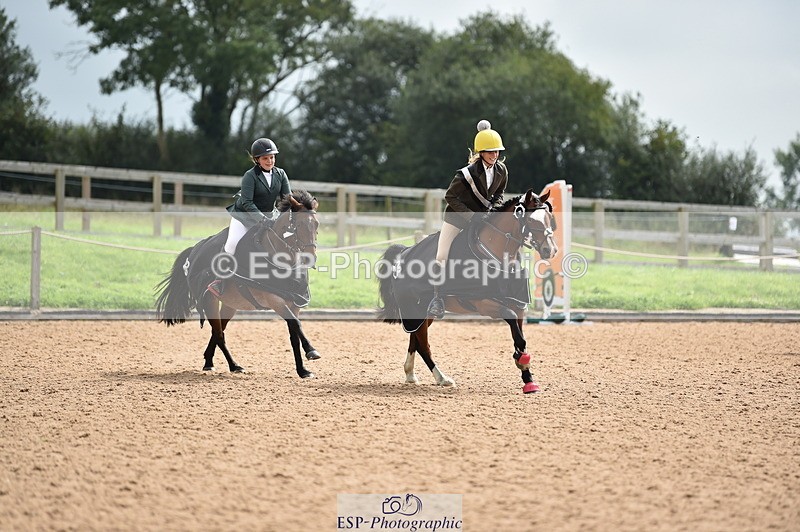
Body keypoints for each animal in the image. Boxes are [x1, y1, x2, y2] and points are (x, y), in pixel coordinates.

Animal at [155, 190, 321, 378]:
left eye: (316, 224)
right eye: (299, 224)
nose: (310, 258)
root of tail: (195, 250)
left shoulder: (294, 304)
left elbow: (294, 335)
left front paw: (303, 370)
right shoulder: (276, 301)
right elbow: (296, 325)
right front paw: (311, 351)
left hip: (230, 304)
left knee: (217, 331)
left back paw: (209, 362)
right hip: (209, 300)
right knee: (219, 334)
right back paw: (234, 365)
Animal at [377, 189, 558, 394]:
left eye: (549, 218)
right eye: (531, 220)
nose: (550, 250)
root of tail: (403, 254)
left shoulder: (518, 304)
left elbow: (520, 338)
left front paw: (528, 378)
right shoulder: (484, 304)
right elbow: (514, 327)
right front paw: (523, 365)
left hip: (423, 313)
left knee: (414, 339)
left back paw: (410, 374)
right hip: (415, 309)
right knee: (423, 344)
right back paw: (442, 378)